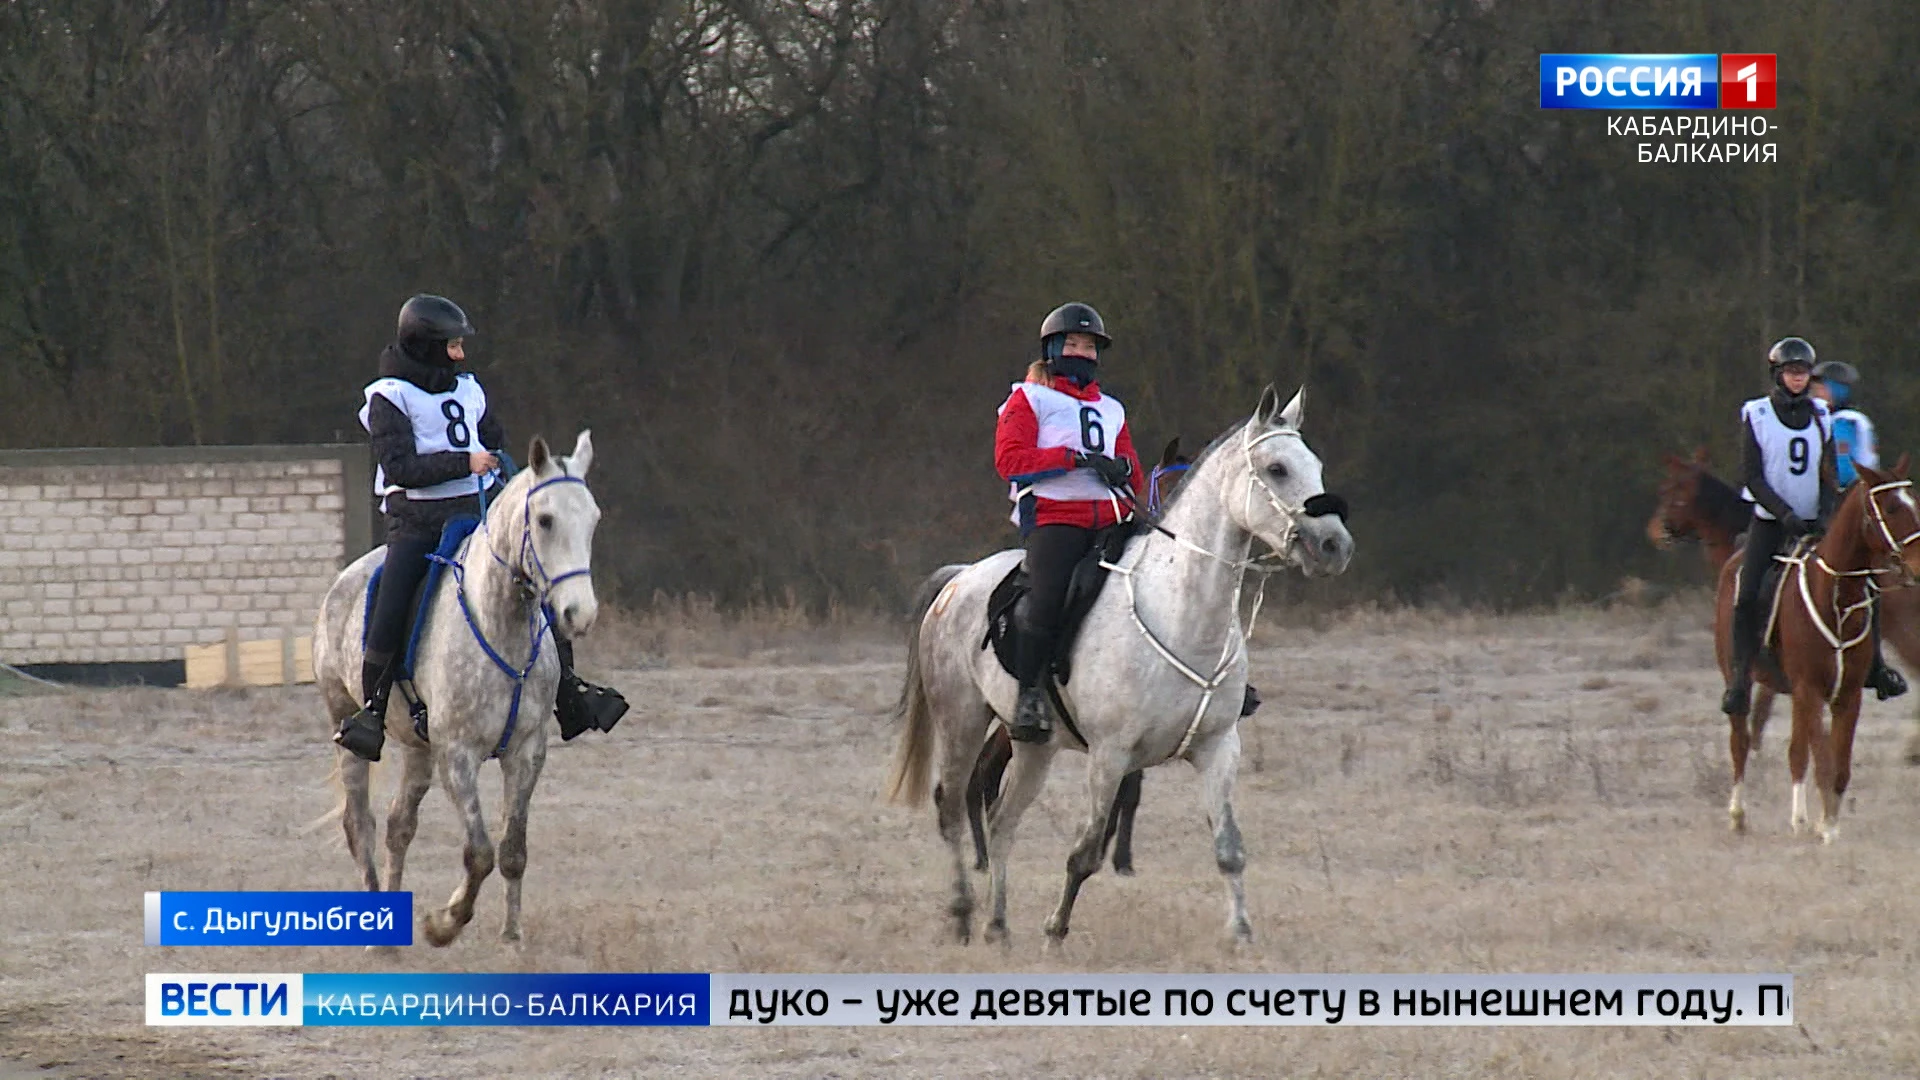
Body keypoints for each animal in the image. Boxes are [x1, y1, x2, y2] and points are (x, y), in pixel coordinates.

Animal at [312, 428, 599, 941]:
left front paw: (512, 938)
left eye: (593, 520)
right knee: (360, 824)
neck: (500, 623)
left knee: (398, 825)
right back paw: (376, 941)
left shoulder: (527, 751)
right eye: (545, 520)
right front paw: (441, 925)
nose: (579, 615)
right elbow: (479, 853)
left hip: (418, 748)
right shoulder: (458, 756)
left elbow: (512, 850)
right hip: (344, 720)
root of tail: (342, 582)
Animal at [883, 386, 1351, 941]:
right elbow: (1084, 854)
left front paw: (1240, 934)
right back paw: (961, 915)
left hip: (1033, 747)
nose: (1335, 545)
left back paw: (998, 926)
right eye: (1277, 469)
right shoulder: (1111, 755)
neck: (1181, 612)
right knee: (952, 807)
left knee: (1002, 822)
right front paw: (1055, 932)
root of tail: (958, 579)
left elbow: (1229, 848)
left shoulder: (1218, 748)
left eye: (1315, 466)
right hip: (962, 721)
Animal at [1720, 457, 1920, 837]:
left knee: (1802, 749)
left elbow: (1837, 765)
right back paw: (1738, 814)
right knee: (1741, 740)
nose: (1917, 567)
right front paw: (1817, 825)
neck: (1836, 597)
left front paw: (1829, 824)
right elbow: (1816, 758)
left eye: (1915, 503)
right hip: (1741, 678)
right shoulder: (1808, 688)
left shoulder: (1847, 694)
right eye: (1889, 507)